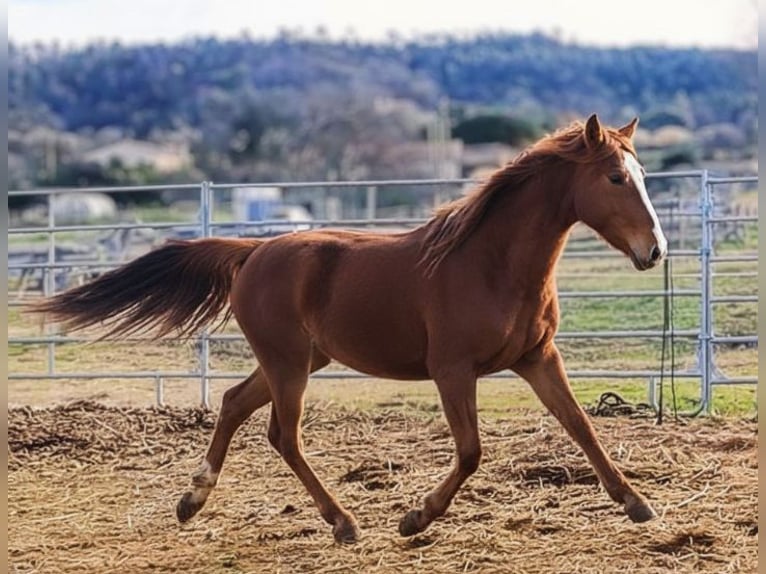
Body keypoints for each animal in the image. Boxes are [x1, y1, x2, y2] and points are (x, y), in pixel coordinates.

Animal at [32, 114, 667, 544]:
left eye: (641, 174)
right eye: (616, 177)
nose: (654, 250)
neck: (490, 263)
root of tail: (252, 252)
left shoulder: (538, 358)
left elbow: (582, 427)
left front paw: (636, 503)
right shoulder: (452, 370)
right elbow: (470, 452)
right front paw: (415, 517)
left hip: (298, 360)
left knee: (234, 403)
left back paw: (193, 500)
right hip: (289, 365)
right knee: (282, 435)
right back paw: (342, 522)